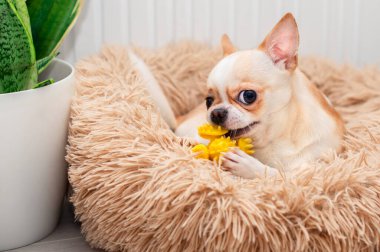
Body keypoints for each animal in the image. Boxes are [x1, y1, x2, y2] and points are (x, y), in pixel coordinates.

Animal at [135, 12, 346, 179]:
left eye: (248, 96)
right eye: (208, 101)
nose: (216, 113)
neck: (276, 138)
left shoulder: (313, 172)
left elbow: (281, 175)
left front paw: (248, 165)